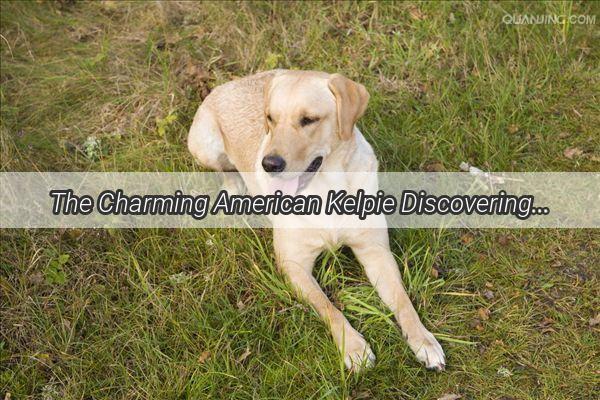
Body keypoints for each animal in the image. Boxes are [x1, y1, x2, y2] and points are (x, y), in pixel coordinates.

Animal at [188, 69, 446, 372]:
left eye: (308, 120)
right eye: (270, 118)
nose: (269, 164)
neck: (327, 187)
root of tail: (227, 84)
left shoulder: (376, 251)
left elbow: (403, 301)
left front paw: (423, 340)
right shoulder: (293, 266)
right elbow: (328, 307)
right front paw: (353, 346)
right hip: (204, 146)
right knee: (224, 168)